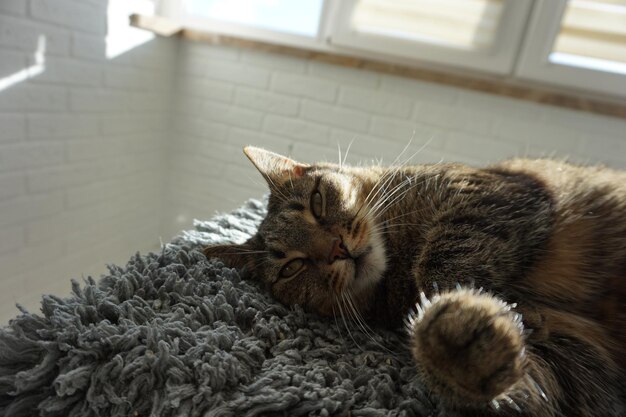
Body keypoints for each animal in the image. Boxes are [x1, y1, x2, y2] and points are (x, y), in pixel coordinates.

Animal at [206, 146, 624, 416]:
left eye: (317, 202)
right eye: (291, 268)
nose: (337, 249)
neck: (398, 262)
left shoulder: (490, 195)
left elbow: (441, 264)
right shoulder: (585, 362)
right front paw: (462, 344)